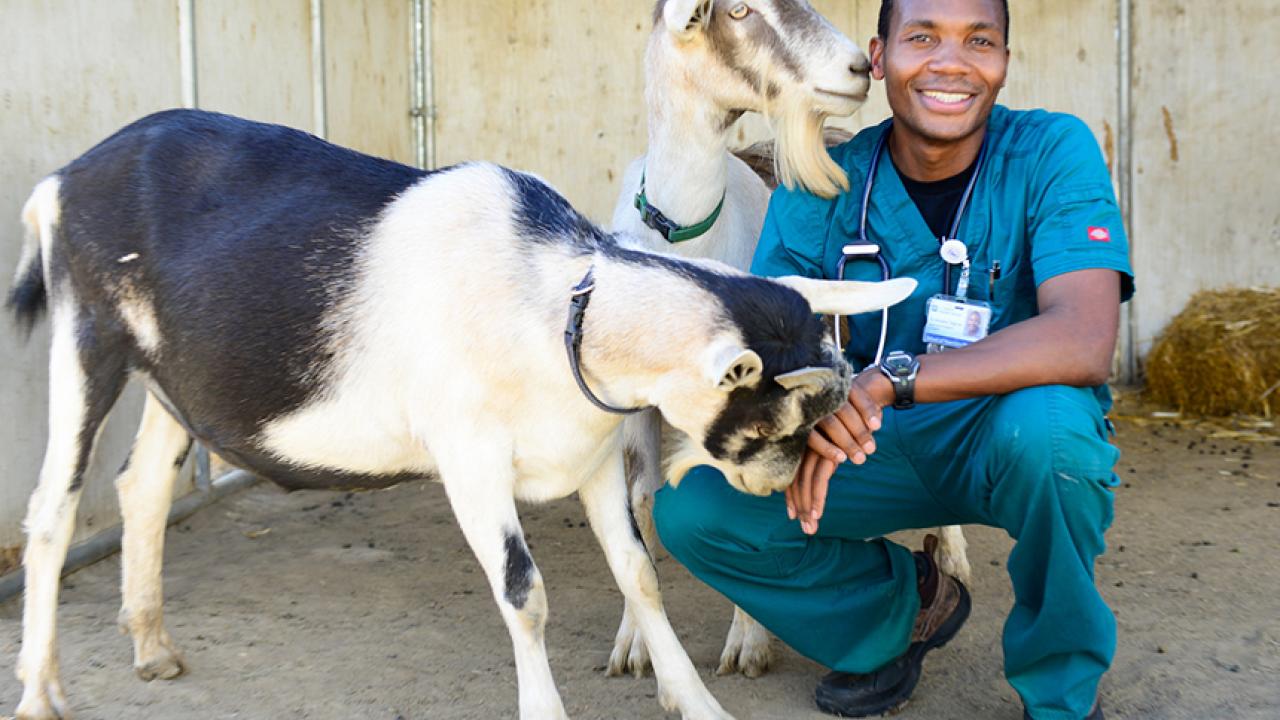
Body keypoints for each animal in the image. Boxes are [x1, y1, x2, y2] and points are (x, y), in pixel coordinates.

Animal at [5, 107, 916, 717]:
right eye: (772, 423)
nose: (782, 491)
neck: (559, 308)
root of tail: (60, 184)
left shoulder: (590, 457)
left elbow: (640, 575)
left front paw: (696, 703)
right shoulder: (469, 460)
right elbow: (525, 592)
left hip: (174, 377)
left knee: (142, 489)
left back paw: (151, 646)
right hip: (88, 339)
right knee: (53, 511)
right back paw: (43, 690)